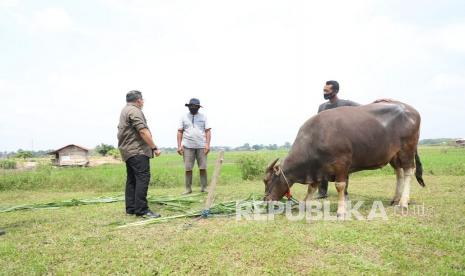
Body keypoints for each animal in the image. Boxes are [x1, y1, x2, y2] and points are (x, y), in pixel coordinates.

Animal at [262, 100, 422, 219]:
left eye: (267, 180)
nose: (266, 200)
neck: (315, 138)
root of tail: (412, 110)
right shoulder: (316, 169)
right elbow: (311, 188)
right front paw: (305, 204)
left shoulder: (341, 164)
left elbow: (340, 186)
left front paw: (341, 211)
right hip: (394, 155)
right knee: (399, 173)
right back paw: (395, 199)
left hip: (407, 149)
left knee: (408, 171)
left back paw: (403, 202)